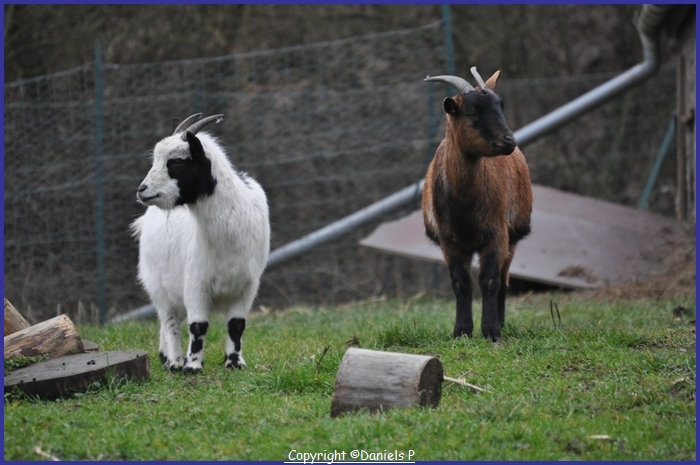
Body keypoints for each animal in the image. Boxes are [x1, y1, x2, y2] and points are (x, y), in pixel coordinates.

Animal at [130, 113, 270, 374]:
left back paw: (165, 357)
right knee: (169, 319)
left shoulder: (247, 284)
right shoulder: (196, 282)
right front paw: (192, 366)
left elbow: (236, 324)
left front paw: (234, 362)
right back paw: (174, 361)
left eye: (175, 162)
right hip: (157, 283)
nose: (142, 190)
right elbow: (198, 325)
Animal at [424, 67, 532, 340]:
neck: (464, 207)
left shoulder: (497, 235)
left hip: (512, 239)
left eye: (501, 107)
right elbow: (461, 283)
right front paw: (461, 331)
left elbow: (490, 281)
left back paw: (502, 323)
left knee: (504, 281)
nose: (509, 140)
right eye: (472, 113)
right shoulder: (449, 241)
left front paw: (491, 331)